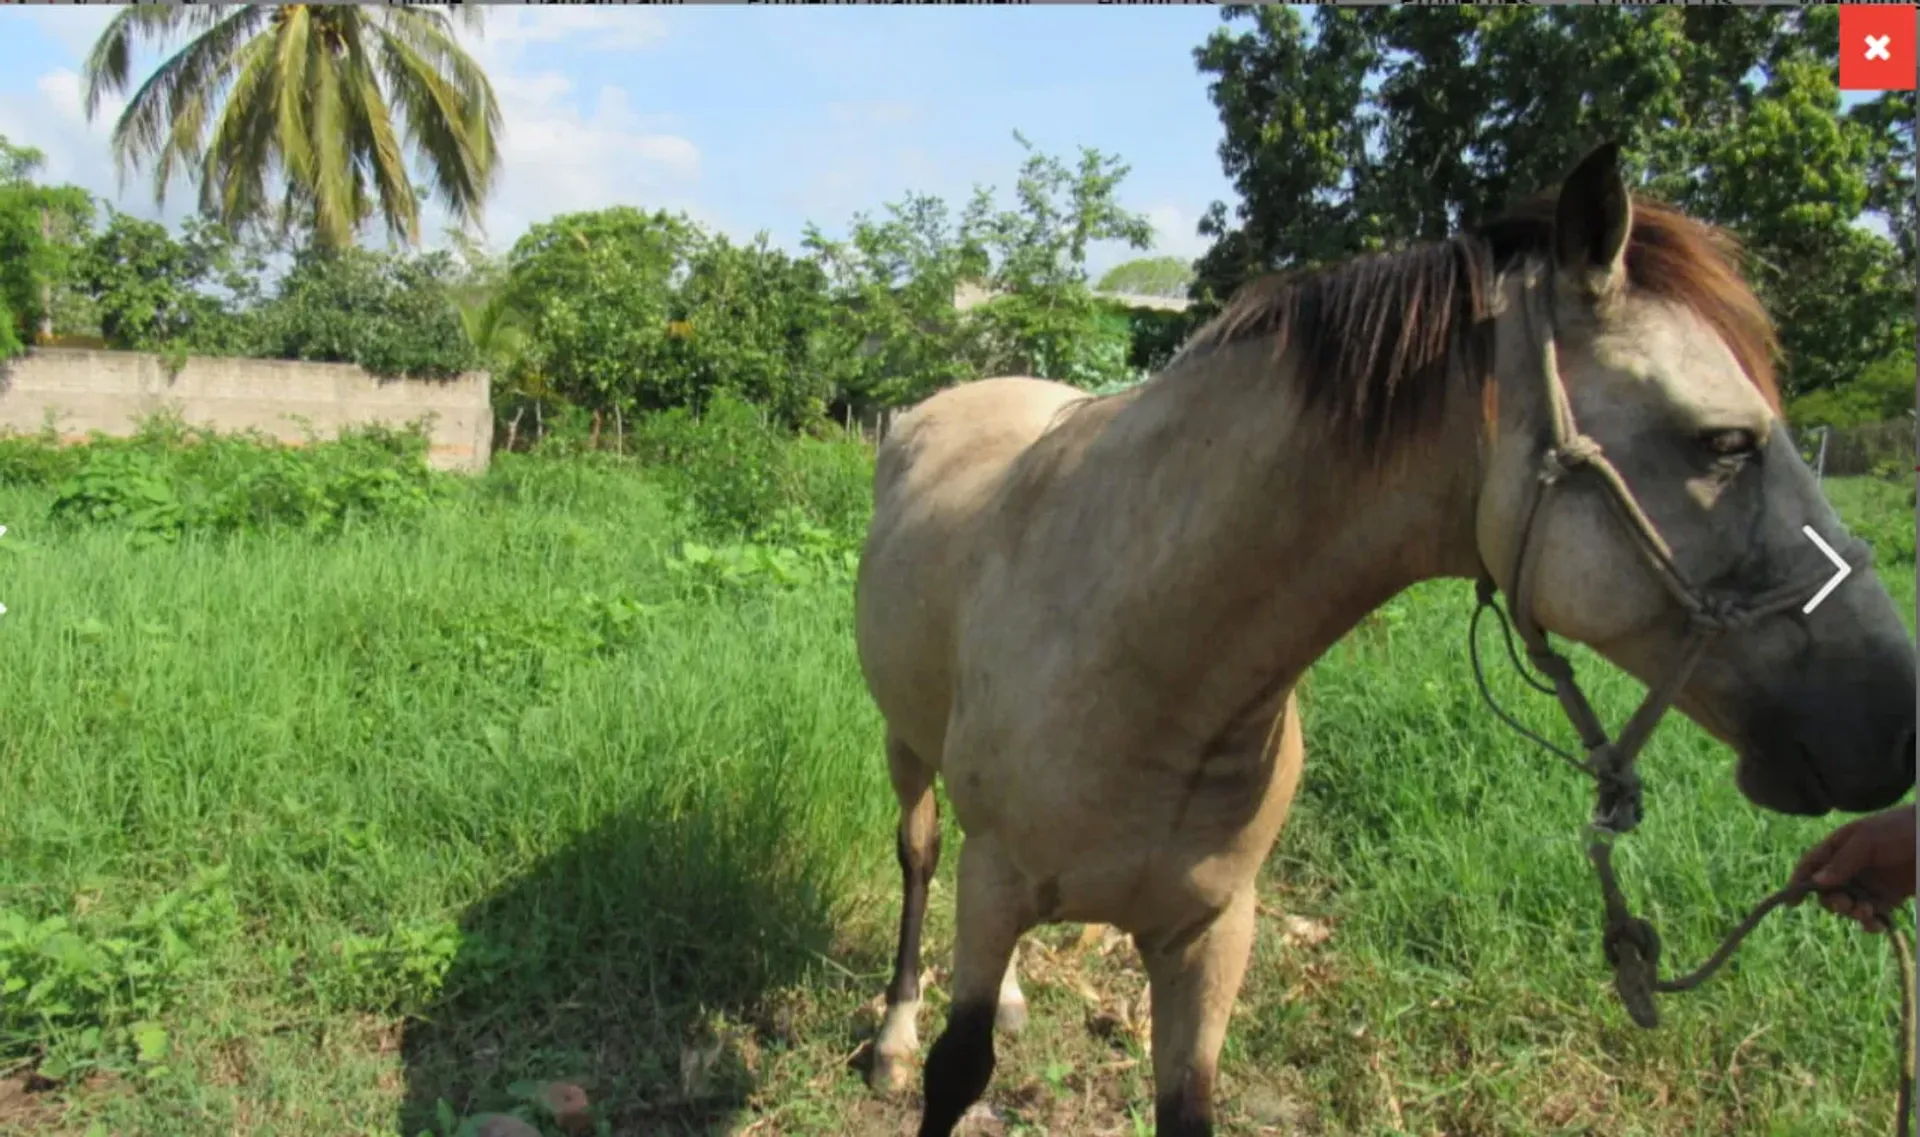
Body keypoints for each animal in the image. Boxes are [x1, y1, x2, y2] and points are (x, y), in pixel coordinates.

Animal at [848, 144, 1912, 1137]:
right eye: (1724, 442)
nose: (1895, 722)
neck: (1149, 659)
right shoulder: (997, 883)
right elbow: (957, 1069)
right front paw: (924, 1048)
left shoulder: (1209, 933)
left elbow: (1187, 1102)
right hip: (905, 752)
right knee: (920, 854)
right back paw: (892, 1034)